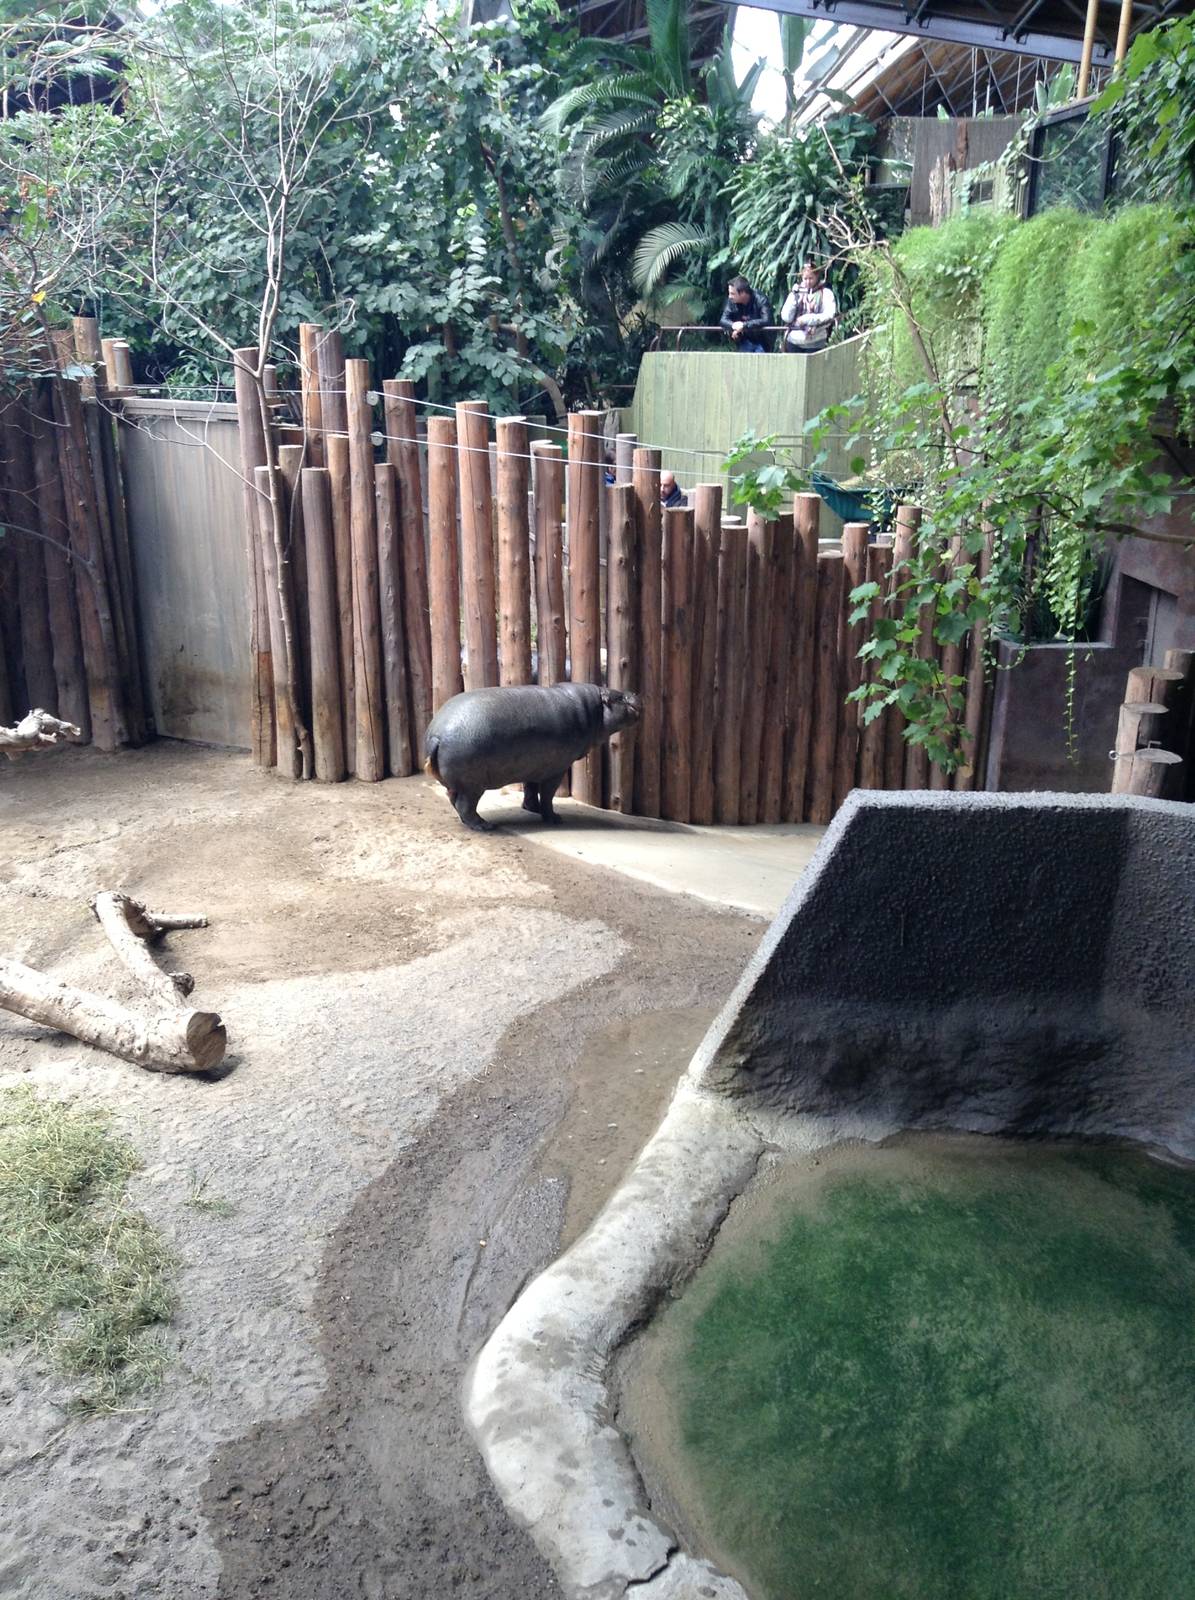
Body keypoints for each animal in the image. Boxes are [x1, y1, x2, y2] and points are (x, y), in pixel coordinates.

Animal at [423, 683, 642, 831]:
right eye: (618, 697)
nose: (635, 692)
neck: (593, 712)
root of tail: (436, 734)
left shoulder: (534, 766)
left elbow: (530, 788)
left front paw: (531, 809)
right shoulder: (556, 770)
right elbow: (547, 795)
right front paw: (554, 818)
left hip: (459, 783)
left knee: (454, 800)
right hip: (473, 785)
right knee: (465, 805)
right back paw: (485, 826)